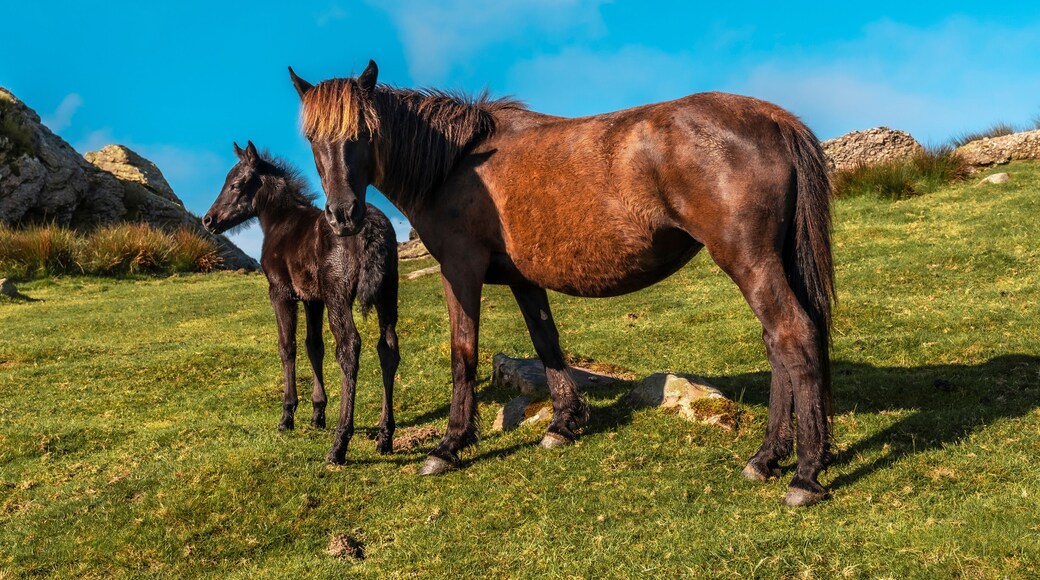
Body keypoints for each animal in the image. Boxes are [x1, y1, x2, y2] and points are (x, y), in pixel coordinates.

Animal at [203, 141, 400, 464]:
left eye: (235, 184)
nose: (209, 220)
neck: (281, 221)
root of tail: (373, 229)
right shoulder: (313, 298)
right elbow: (313, 346)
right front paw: (317, 413)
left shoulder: (281, 292)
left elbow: (288, 347)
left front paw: (287, 416)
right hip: (387, 293)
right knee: (388, 349)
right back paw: (385, 436)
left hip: (338, 295)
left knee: (349, 346)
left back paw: (339, 444)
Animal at [288, 61, 836, 506]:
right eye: (313, 140)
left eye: (363, 133)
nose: (342, 216)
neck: (457, 164)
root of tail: (772, 118)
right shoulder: (523, 279)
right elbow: (546, 343)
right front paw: (563, 424)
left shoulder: (460, 271)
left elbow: (463, 353)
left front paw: (450, 445)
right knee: (778, 346)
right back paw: (768, 458)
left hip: (749, 261)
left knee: (793, 337)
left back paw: (804, 475)